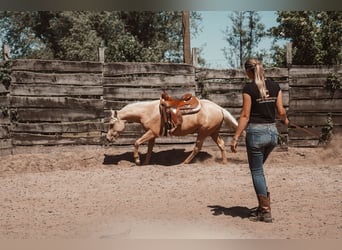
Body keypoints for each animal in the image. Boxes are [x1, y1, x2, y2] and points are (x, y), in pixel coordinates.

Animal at [107, 98, 238, 165]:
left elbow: (136, 142)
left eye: (111, 124)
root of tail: (219, 108)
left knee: (197, 148)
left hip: (203, 133)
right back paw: (224, 162)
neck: (148, 111)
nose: (108, 138)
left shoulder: (152, 132)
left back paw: (185, 162)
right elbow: (149, 149)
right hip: (213, 132)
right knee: (221, 144)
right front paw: (146, 163)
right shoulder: (152, 135)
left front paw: (137, 160)